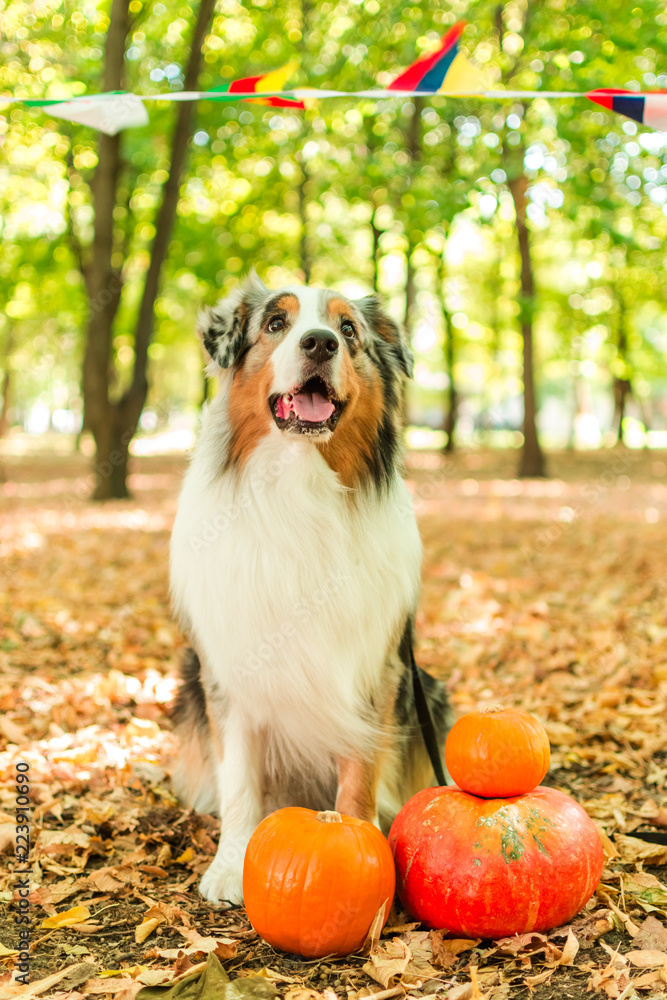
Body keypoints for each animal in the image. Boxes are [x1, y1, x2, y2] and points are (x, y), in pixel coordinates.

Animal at [168, 274, 448, 908]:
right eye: (277, 323)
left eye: (348, 329)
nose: (320, 342)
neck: (300, 486)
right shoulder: (229, 672)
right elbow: (240, 780)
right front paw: (230, 866)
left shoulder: (375, 671)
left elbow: (360, 773)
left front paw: (362, 840)